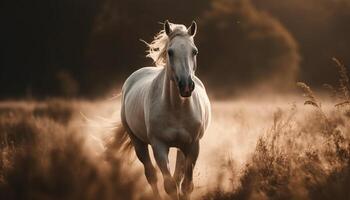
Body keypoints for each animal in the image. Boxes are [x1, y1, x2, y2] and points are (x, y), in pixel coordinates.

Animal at [119, 20, 211, 200]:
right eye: (170, 52)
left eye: (194, 51)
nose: (186, 86)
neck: (177, 108)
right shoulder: (159, 146)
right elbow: (170, 186)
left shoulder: (193, 146)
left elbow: (186, 185)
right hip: (138, 142)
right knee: (151, 175)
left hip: (182, 147)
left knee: (177, 176)